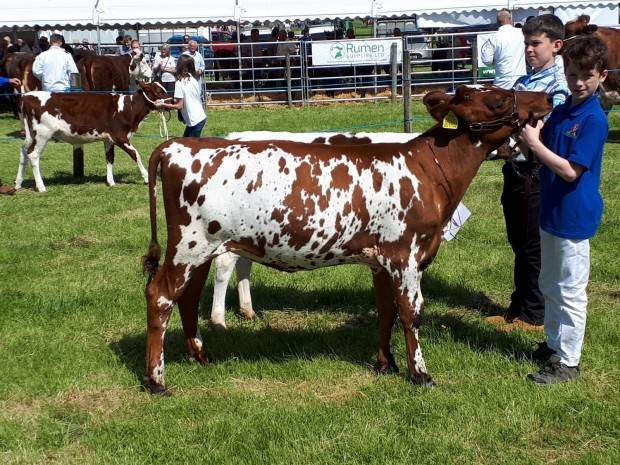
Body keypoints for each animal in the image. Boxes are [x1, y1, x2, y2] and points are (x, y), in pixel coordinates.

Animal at [15, 81, 170, 190]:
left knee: (23, 152)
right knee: (33, 154)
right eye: (158, 90)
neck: (128, 108)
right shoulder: (119, 136)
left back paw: (18, 183)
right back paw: (41, 186)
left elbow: (109, 158)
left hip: (30, 135)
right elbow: (135, 154)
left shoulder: (108, 139)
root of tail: (27, 96)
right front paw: (146, 178)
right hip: (42, 134)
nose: (173, 100)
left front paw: (111, 182)